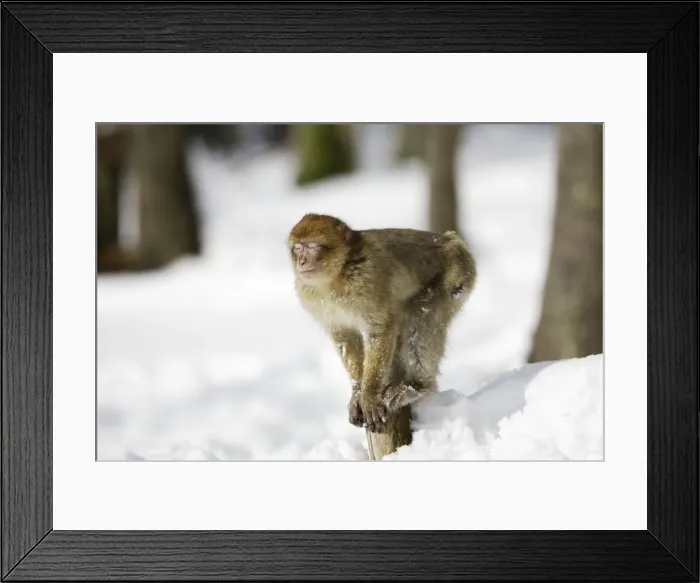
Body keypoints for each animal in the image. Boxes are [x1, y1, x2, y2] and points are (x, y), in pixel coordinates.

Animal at [288, 213, 476, 433]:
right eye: (298, 248)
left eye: (312, 246)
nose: (301, 261)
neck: (337, 275)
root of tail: (454, 241)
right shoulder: (309, 295)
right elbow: (344, 337)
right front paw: (357, 391)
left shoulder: (367, 280)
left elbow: (380, 329)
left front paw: (369, 395)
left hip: (455, 279)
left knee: (421, 322)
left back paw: (418, 386)